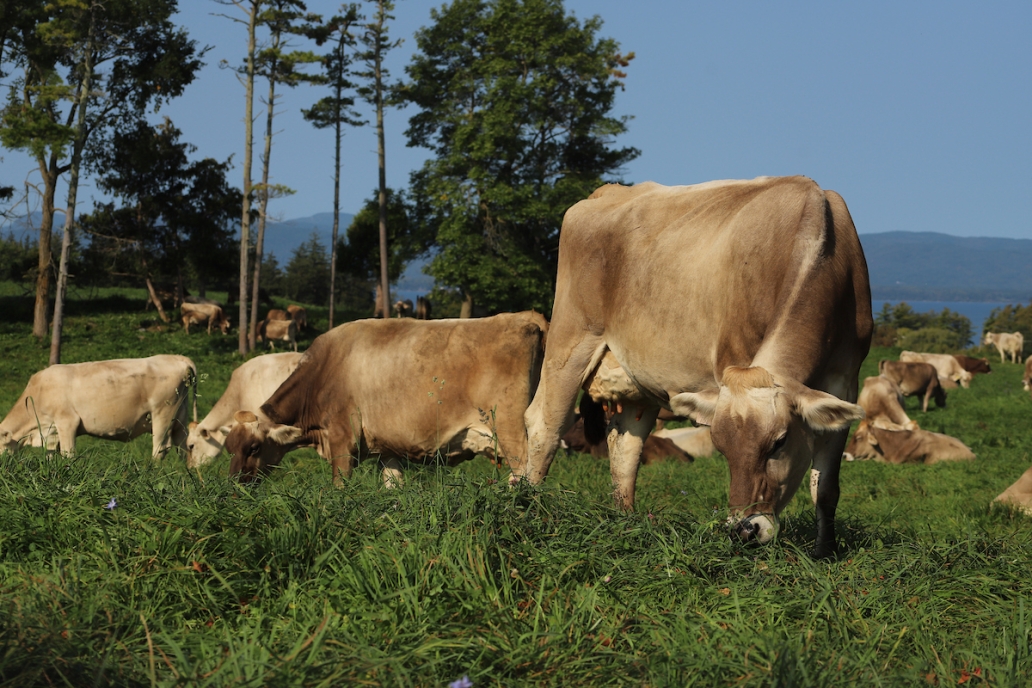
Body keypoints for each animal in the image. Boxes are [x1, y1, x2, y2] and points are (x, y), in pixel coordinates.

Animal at [0, 355, 196, 459]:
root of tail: (178, 359)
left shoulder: (67, 422)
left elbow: (68, 453)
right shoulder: (50, 432)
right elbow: (50, 456)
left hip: (163, 415)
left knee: (160, 449)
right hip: (179, 418)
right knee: (184, 446)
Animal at [224, 312, 548, 486]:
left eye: (254, 447)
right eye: (229, 447)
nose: (235, 484)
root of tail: (523, 317)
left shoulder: (342, 438)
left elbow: (339, 486)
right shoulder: (388, 447)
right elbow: (393, 486)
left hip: (510, 427)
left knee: (526, 471)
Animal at [520, 176, 872, 557]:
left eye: (779, 442)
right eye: (720, 445)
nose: (744, 530)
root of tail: (606, 192)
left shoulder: (846, 380)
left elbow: (825, 488)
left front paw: (825, 551)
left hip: (638, 383)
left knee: (625, 445)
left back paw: (625, 522)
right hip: (570, 340)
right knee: (543, 425)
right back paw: (525, 509)